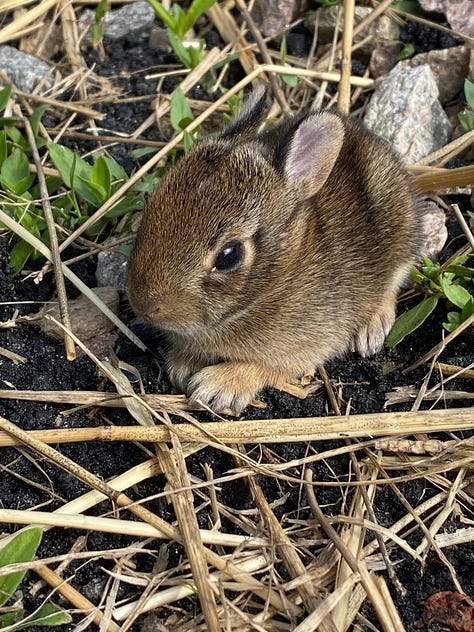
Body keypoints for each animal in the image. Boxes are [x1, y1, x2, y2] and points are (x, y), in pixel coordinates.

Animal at [127, 86, 422, 418]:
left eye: (229, 256)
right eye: (149, 209)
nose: (143, 305)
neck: (278, 280)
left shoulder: (308, 345)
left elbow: (267, 368)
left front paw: (215, 387)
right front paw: (183, 364)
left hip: (399, 229)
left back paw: (371, 329)